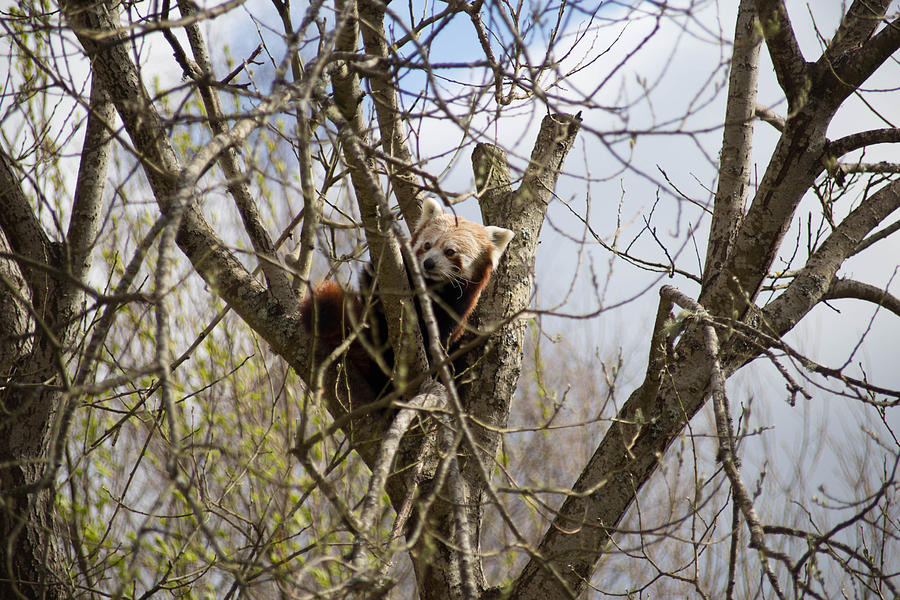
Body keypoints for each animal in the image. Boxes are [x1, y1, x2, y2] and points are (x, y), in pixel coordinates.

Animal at [300, 195, 512, 396]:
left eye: (450, 251)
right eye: (427, 245)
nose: (428, 263)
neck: (432, 286)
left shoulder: (457, 307)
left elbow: (441, 335)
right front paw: (373, 283)